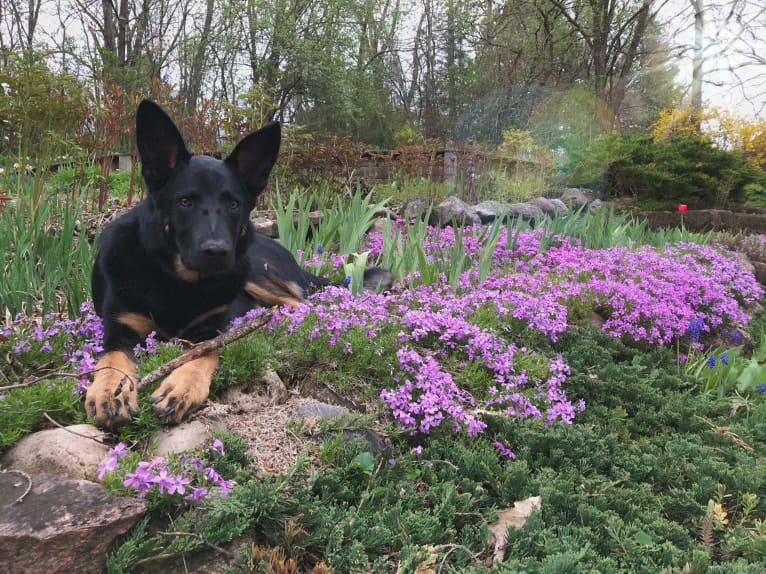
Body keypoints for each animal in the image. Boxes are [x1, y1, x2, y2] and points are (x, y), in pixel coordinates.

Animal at [87, 101, 392, 430]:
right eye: (185, 202)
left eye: (233, 204)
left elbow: (202, 355)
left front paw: (182, 386)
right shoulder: (119, 329)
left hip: (254, 270)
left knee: (303, 305)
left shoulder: (211, 329)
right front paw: (110, 392)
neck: (177, 281)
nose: (217, 252)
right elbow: (111, 361)